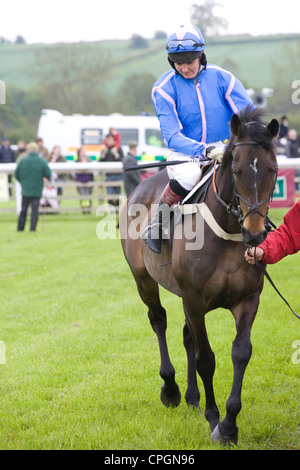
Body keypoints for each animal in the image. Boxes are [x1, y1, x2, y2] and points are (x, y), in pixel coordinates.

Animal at [119, 108, 278, 446]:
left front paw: (230, 424)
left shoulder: (248, 299)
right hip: (143, 280)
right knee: (159, 320)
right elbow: (207, 358)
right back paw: (171, 389)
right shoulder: (194, 299)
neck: (227, 232)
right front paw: (215, 419)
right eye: (238, 170)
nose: (255, 234)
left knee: (186, 335)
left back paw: (192, 396)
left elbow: (241, 353)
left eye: (272, 170)